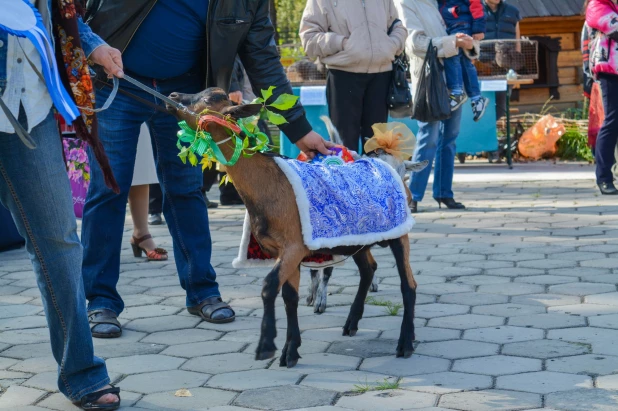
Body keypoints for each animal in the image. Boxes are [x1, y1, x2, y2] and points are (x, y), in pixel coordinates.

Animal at [167, 88, 418, 368]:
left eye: (211, 98)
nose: (173, 94)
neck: (271, 183)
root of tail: (393, 169)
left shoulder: (293, 247)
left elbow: (269, 287)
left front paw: (267, 347)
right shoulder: (286, 252)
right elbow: (289, 297)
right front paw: (291, 351)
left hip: (399, 233)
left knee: (409, 284)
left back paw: (405, 343)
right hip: (359, 238)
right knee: (368, 269)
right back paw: (352, 323)